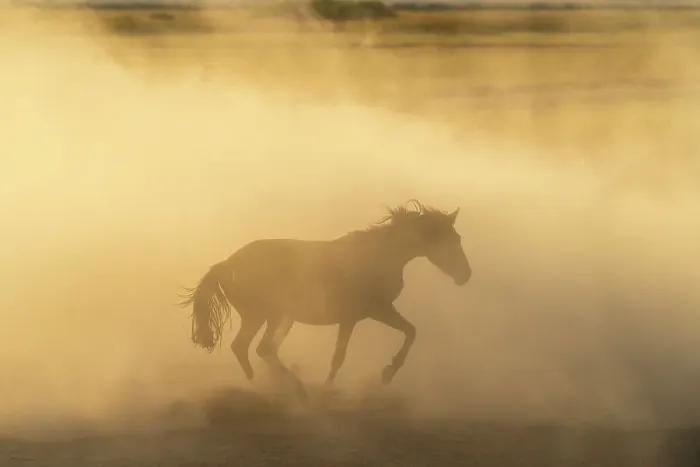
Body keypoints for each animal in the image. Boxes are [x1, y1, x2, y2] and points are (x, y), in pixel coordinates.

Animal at [179, 200, 472, 403]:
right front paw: (386, 374)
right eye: (447, 240)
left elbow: (340, 357)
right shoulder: (377, 310)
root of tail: (226, 263)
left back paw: (271, 387)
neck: (380, 255)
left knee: (260, 349)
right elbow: (409, 332)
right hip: (264, 314)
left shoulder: (352, 318)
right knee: (252, 347)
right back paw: (287, 390)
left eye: (458, 238)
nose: (465, 275)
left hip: (279, 317)